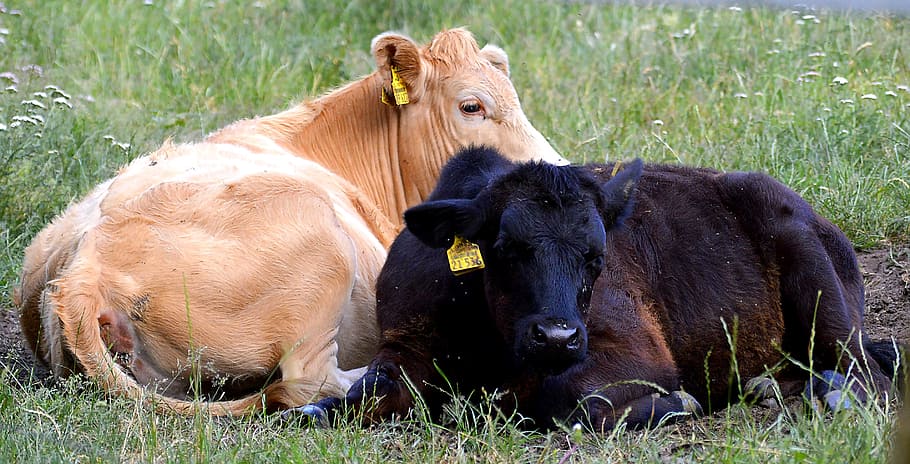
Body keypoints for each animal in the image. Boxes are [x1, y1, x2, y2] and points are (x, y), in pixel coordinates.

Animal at [289, 146, 902, 431]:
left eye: (597, 257)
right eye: (504, 246)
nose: (557, 337)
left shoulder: (635, 352)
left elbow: (571, 400)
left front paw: (675, 403)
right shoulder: (402, 350)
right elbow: (341, 401)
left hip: (816, 280)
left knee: (868, 371)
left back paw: (832, 393)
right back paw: (769, 387)